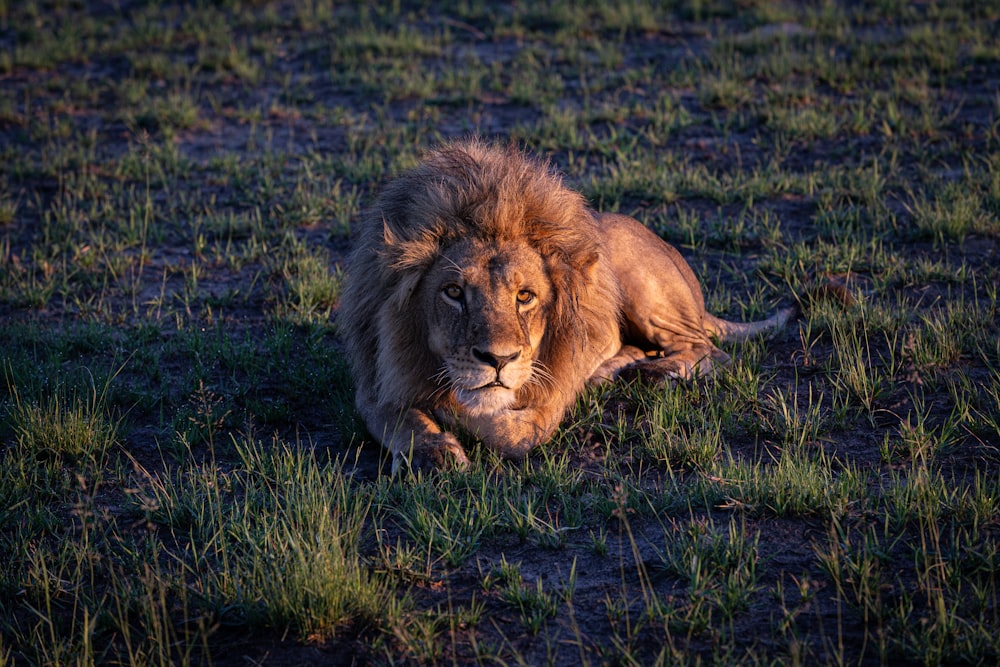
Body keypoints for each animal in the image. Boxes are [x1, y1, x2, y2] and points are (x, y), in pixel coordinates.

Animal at [340, 141, 800, 472]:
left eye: (525, 296)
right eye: (454, 292)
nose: (498, 360)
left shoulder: (550, 393)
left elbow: (510, 434)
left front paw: (450, 413)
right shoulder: (376, 378)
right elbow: (401, 419)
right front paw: (435, 450)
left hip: (640, 282)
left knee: (708, 349)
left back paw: (654, 372)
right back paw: (618, 368)